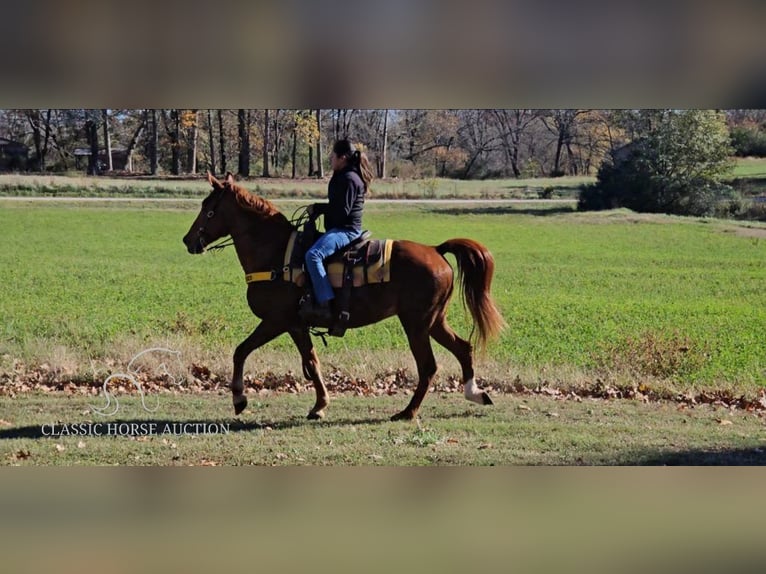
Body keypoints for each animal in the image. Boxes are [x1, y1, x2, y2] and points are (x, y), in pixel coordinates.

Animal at [179, 173, 504, 420]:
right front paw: (320, 406)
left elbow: (241, 351)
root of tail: (436, 250)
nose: (187, 240)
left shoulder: (276, 321)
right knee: (463, 348)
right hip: (434, 321)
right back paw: (475, 393)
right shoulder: (296, 326)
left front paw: (239, 399)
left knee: (428, 367)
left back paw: (408, 412)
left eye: (208, 208)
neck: (275, 255)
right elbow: (312, 362)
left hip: (417, 324)